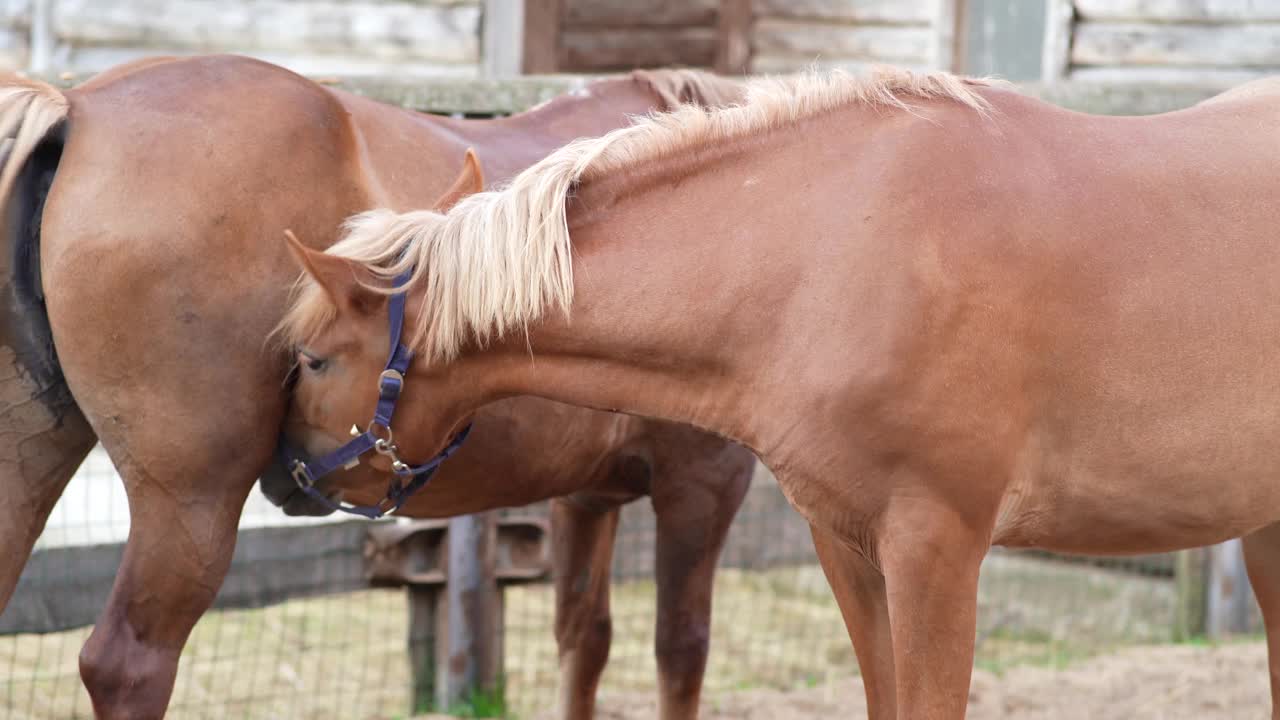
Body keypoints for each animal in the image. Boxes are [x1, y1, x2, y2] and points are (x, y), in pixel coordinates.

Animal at [0, 56, 747, 717]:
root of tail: (80, 109)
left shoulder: (586, 497)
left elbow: (583, 643)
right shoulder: (701, 486)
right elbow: (681, 654)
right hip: (190, 505)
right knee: (127, 666)